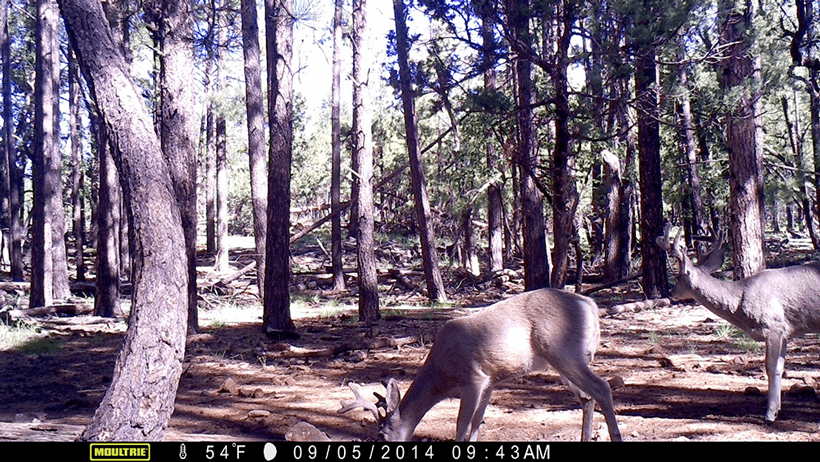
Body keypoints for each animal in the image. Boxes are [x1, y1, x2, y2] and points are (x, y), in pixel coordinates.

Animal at [337, 288, 622, 442]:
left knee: (602, 387)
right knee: (586, 397)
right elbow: (477, 422)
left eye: (381, 434)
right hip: (562, 362)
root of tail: (591, 305)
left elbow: (462, 425)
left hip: (565, 352)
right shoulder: (490, 382)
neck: (441, 377)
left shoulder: (473, 379)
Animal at [657, 224, 820, 423]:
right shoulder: (785, 333)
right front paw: (778, 409)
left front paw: (769, 414)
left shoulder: (773, 326)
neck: (740, 299)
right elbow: (780, 368)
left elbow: (770, 367)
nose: (671, 293)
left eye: (679, 277)